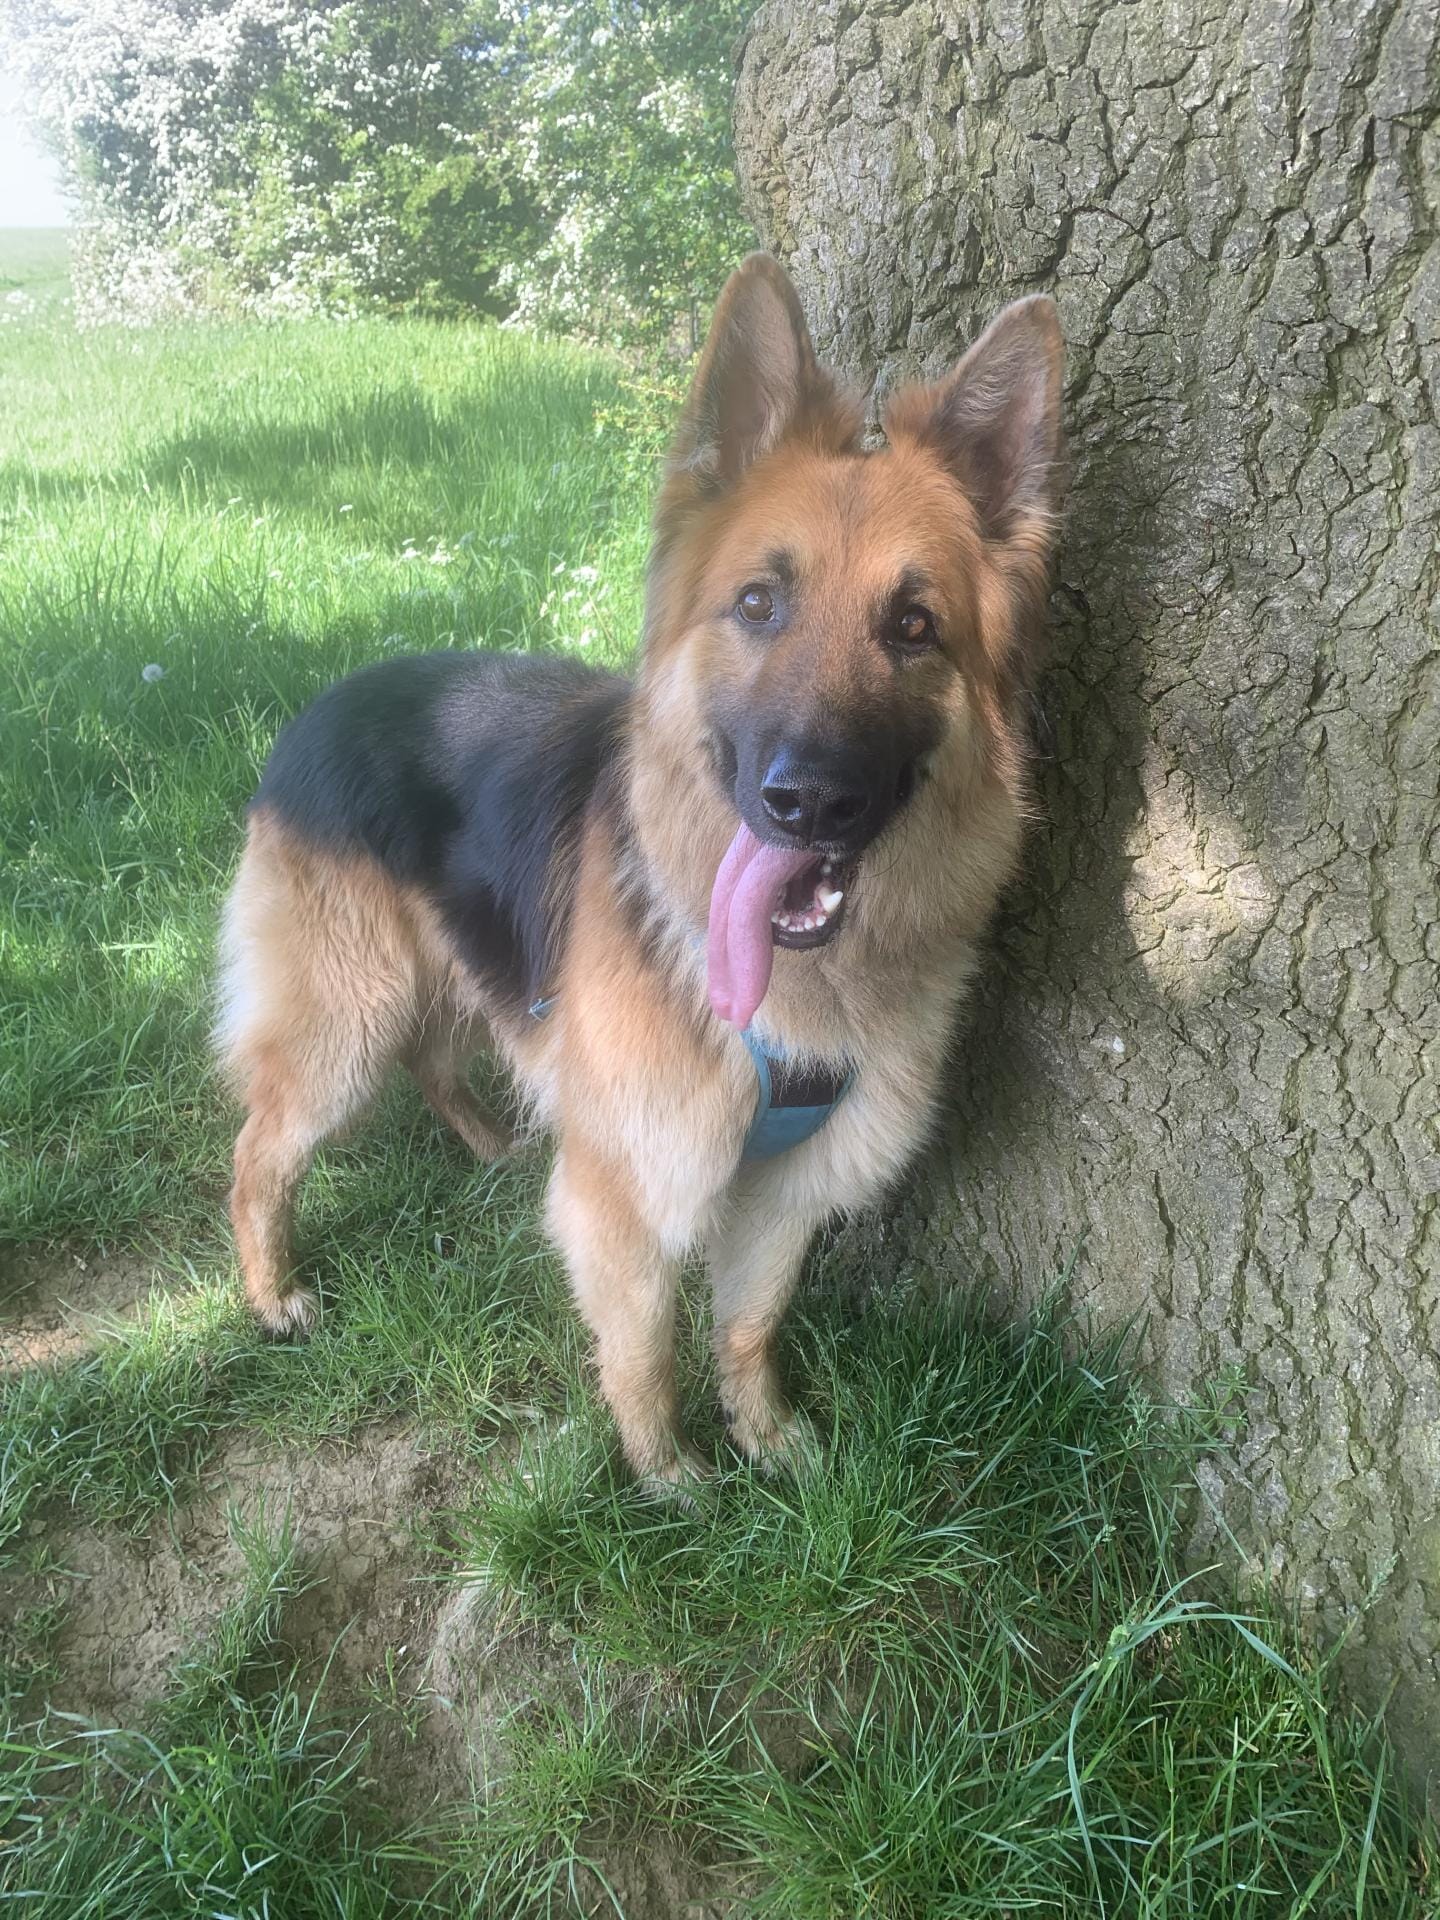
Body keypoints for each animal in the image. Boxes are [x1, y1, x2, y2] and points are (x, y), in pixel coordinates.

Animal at [215, 254, 1065, 1493]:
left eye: (914, 626)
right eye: (758, 604)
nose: (807, 802)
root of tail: (329, 697)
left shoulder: (784, 1191)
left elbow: (749, 1326)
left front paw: (773, 1444)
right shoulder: (630, 1194)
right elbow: (648, 1349)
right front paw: (672, 1479)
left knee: (436, 1053)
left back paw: (491, 1144)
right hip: (345, 1018)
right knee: (261, 1151)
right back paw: (270, 1295)